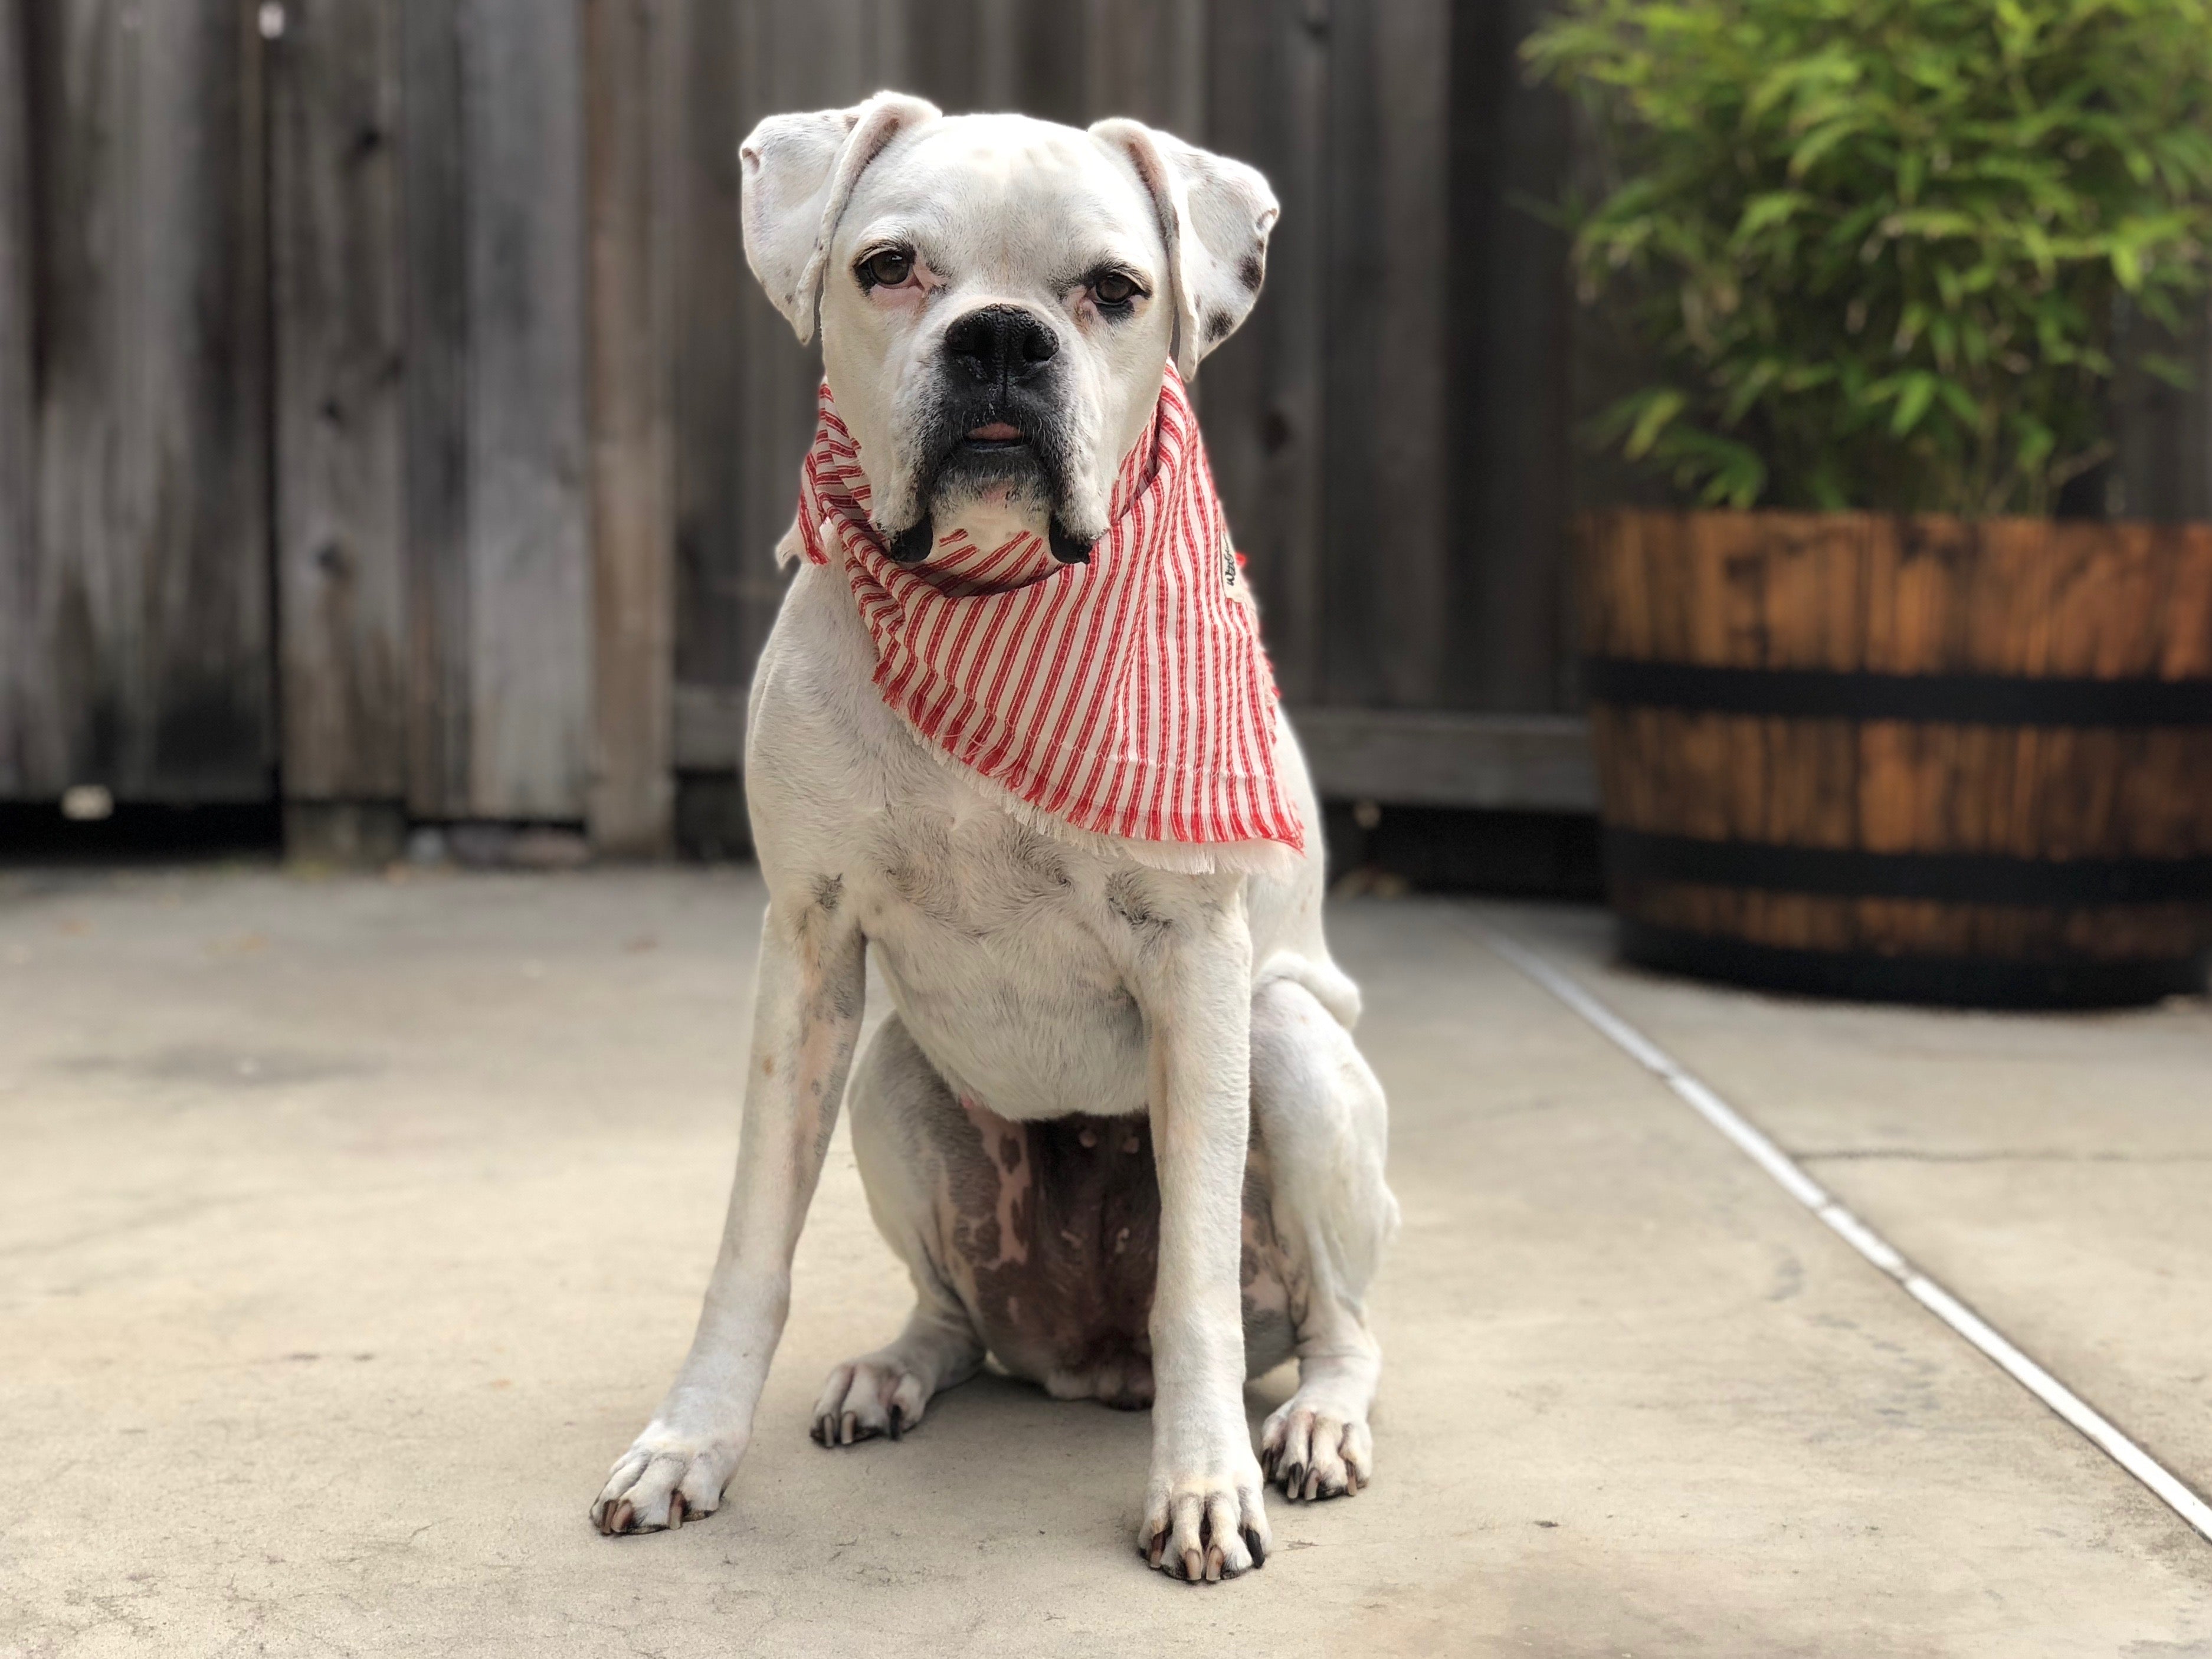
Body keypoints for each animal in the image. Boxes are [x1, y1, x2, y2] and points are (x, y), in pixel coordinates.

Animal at [592, 88, 1398, 1583]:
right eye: (887, 266)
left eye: (1115, 291)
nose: (1002, 337)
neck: (990, 596)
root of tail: (1084, 1356)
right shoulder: (809, 953)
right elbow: (750, 1241)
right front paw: (690, 1438)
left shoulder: (1197, 966)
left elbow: (1194, 1287)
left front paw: (1200, 1482)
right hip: (890, 1078)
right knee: (953, 1312)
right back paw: (893, 1370)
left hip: (1288, 1050)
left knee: (1336, 1322)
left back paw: (1314, 1419)